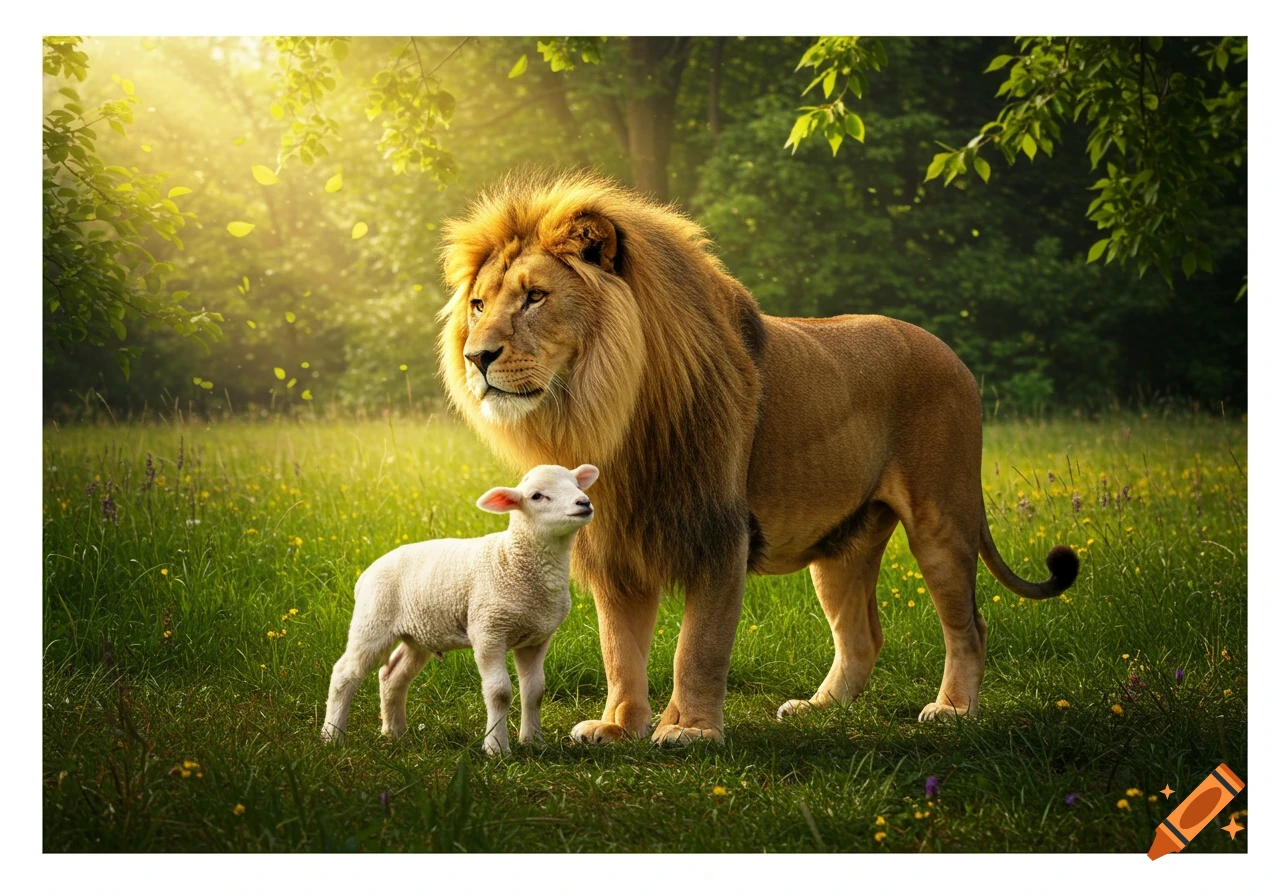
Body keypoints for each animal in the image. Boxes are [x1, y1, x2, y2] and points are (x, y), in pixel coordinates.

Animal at [321, 463, 599, 755]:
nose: (584, 502)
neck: (512, 558)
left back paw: (396, 735)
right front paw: (496, 748)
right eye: (536, 496)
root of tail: (366, 574)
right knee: (344, 674)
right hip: (373, 620)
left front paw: (534, 742)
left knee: (392, 676)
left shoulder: (536, 639)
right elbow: (499, 692)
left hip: (418, 635)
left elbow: (535, 691)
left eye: (576, 485)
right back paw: (332, 736)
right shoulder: (488, 630)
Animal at [436, 171, 1078, 745]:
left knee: (970, 624)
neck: (607, 415)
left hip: (942, 518)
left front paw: (690, 730)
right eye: (478, 305)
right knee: (862, 636)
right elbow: (619, 648)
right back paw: (819, 708)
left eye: (534, 297)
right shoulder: (618, 544)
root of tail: (953, 354)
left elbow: (699, 647)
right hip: (844, 544)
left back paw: (952, 710)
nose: (476, 358)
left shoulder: (721, 531)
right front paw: (618, 726)